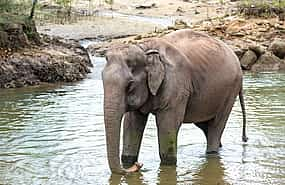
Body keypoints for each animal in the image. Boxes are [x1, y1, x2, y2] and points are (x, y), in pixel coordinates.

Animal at [102, 28, 246, 173]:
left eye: (130, 85)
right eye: (102, 81)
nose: (139, 165)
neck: (144, 48)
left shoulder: (176, 85)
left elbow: (167, 125)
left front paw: (167, 166)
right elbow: (131, 123)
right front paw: (128, 161)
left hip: (230, 91)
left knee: (216, 125)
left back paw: (212, 153)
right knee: (205, 125)